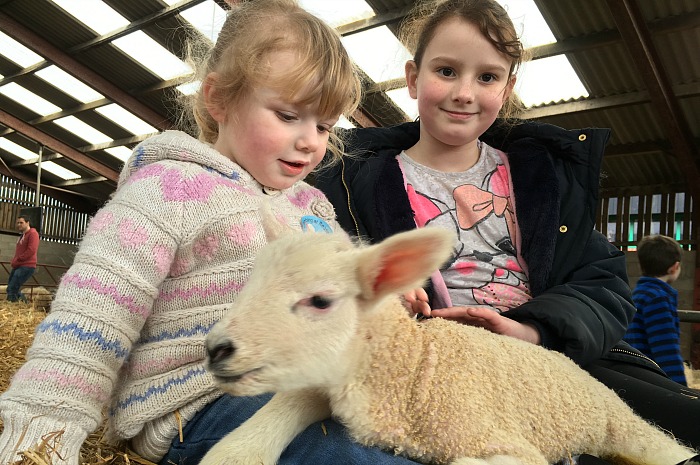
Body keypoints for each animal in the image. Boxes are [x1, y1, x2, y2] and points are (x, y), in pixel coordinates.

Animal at [200, 225, 696, 464]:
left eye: (320, 301)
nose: (216, 350)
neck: (414, 370)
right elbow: (289, 402)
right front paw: (235, 454)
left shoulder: (497, 440)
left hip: (624, 426)